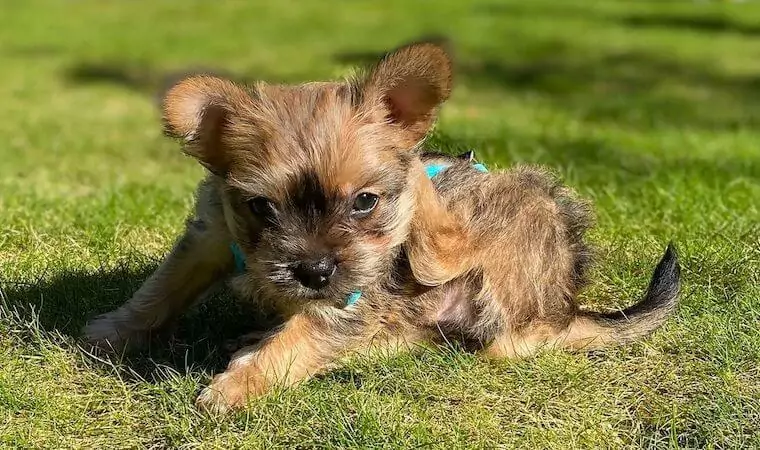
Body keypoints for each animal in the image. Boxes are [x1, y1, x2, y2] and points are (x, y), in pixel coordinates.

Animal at [81, 40, 676, 414]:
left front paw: (238, 385)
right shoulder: (208, 237)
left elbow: (300, 338)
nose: (314, 271)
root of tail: (566, 309)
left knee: (480, 335)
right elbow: (161, 288)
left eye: (364, 201)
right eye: (262, 207)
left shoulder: (353, 295)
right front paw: (111, 332)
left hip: (518, 227)